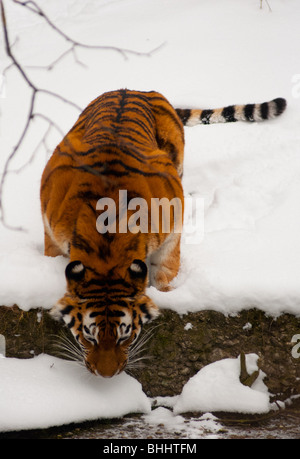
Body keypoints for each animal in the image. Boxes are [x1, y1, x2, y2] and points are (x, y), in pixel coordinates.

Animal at [41, 89, 288, 378]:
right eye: (89, 337)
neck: (106, 249)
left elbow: (165, 270)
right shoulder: (51, 230)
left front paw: (167, 293)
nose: (106, 375)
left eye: (124, 337)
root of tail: (136, 90)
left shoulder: (172, 225)